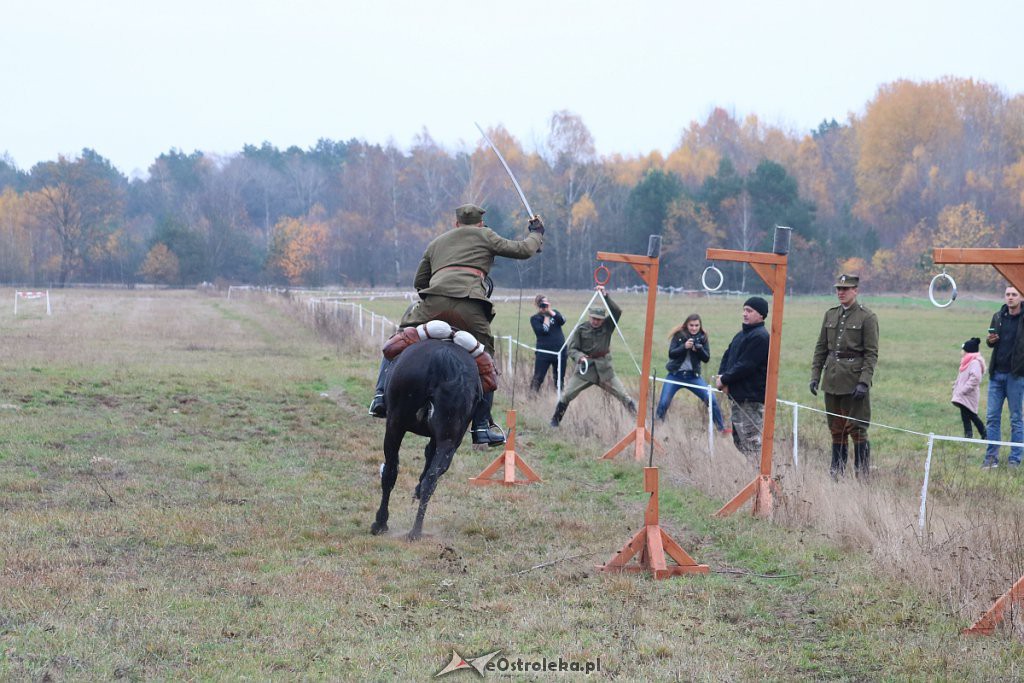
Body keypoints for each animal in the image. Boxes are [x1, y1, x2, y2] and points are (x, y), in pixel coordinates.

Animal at [370, 339, 481, 540]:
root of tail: (444, 357)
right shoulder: (439, 439)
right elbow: (429, 459)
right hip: (450, 439)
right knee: (432, 479)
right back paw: (416, 531)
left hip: (395, 426)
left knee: (390, 472)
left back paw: (381, 523)